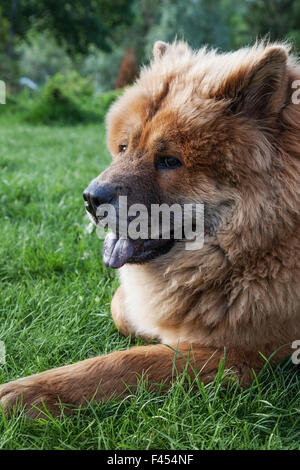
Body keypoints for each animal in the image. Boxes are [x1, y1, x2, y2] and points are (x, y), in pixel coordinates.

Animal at [0, 39, 300, 414]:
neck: (263, 245)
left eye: (169, 161)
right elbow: (123, 308)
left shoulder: (238, 354)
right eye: (124, 147)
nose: (90, 198)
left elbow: (126, 363)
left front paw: (29, 394)